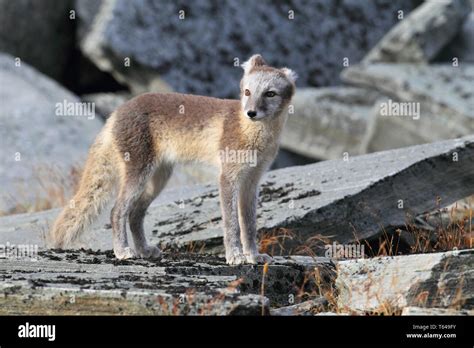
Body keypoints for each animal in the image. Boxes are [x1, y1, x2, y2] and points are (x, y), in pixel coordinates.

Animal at [51, 54, 296, 264]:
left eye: (270, 93)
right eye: (247, 92)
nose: (251, 113)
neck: (254, 136)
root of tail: (117, 111)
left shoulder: (252, 181)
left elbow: (250, 225)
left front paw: (253, 256)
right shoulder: (228, 177)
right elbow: (232, 224)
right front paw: (235, 256)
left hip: (159, 178)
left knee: (135, 214)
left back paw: (144, 250)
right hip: (139, 174)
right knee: (117, 211)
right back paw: (123, 251)